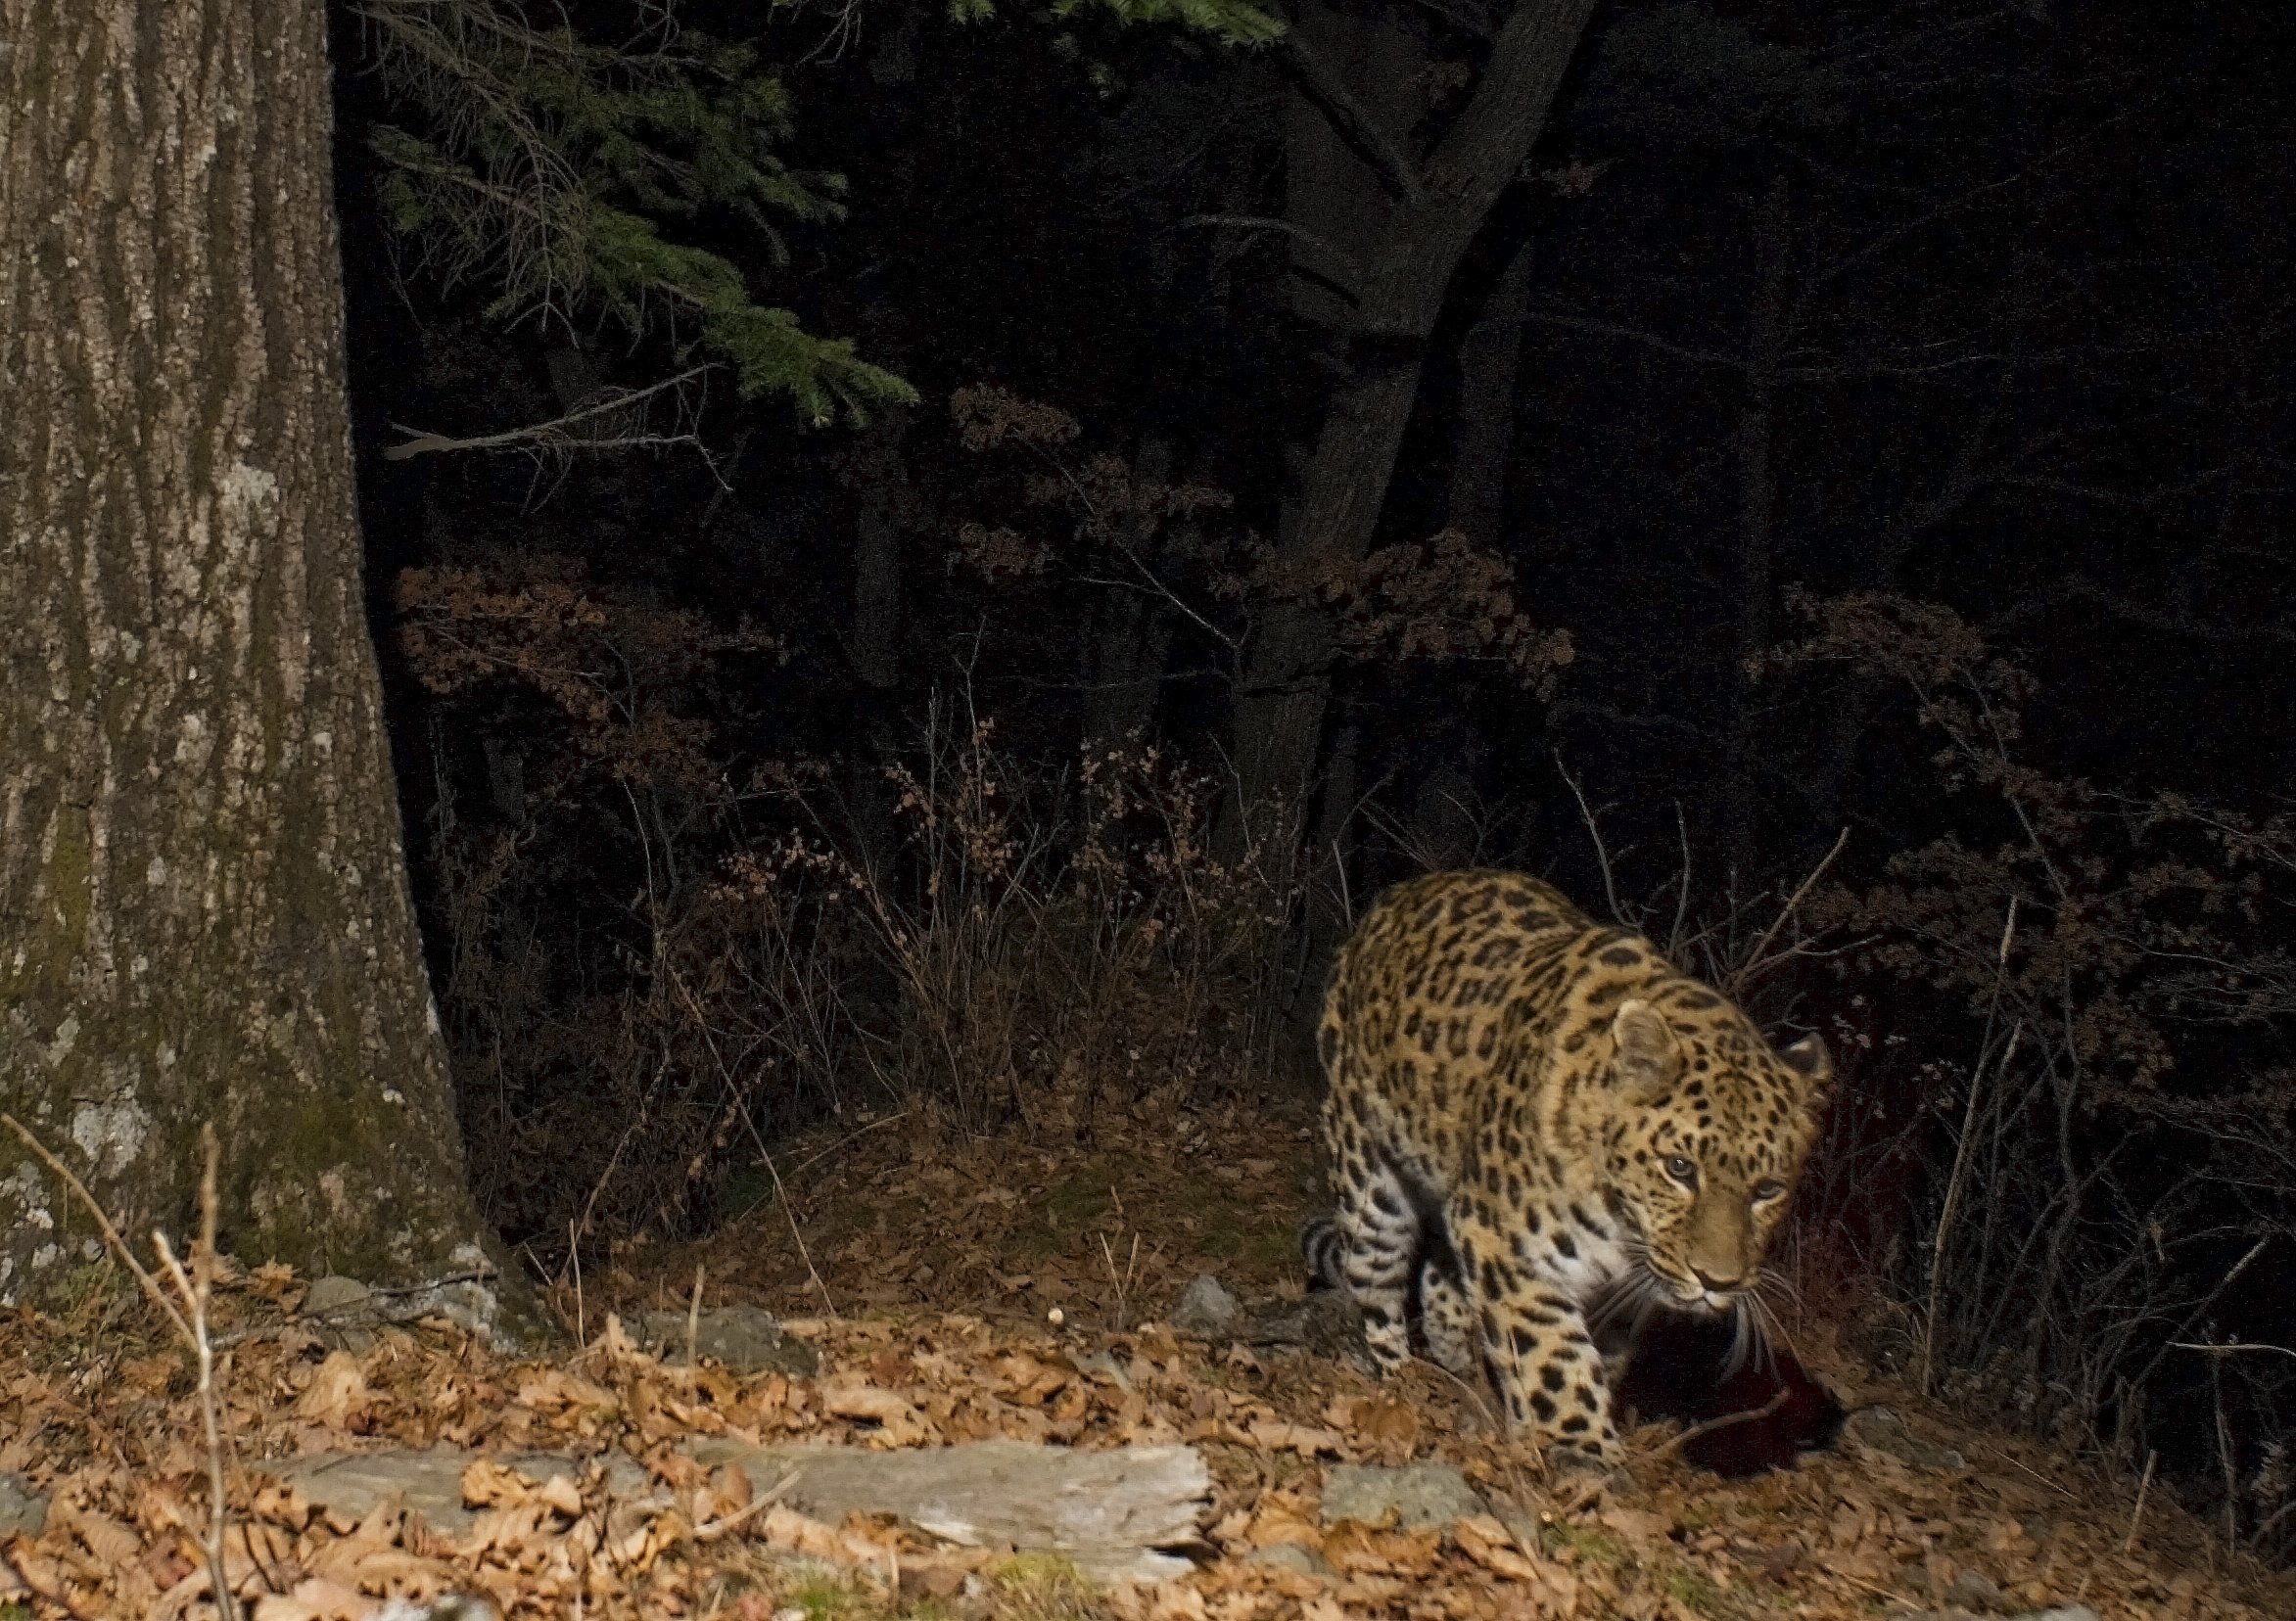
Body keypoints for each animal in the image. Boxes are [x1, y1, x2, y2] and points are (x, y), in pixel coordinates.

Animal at [1306, 868, 1832, 1475]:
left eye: (1767, 1189)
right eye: (1680, 1168)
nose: (1716, 1282)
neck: (1624, 1229)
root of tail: (1397, 897)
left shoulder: (1616, 1296)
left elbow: (1597, 1354)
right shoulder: (1507, 1244)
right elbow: (1554, 1353)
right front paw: (1585, 1449)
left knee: (1439, 1273)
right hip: (1368, 1173)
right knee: (1375, 1276)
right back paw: (1401, 1379)